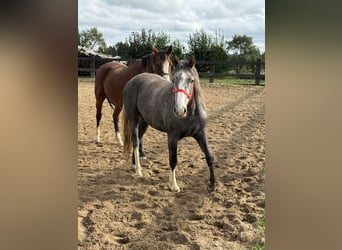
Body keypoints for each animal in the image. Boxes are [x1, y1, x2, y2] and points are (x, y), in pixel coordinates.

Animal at [121, 57, 215, 192]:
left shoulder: (200, 134)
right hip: (134, 120)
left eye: (191, 80)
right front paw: (173, 185)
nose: (180, 110)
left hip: (144, 122)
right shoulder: (172, 137)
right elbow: (173, 160)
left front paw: (212, 184)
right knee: (135, 142)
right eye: (173, 79)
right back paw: (138, 171)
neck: (190, 115)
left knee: (138, 138)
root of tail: (132, 81)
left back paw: (135, 163)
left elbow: (209, 157)